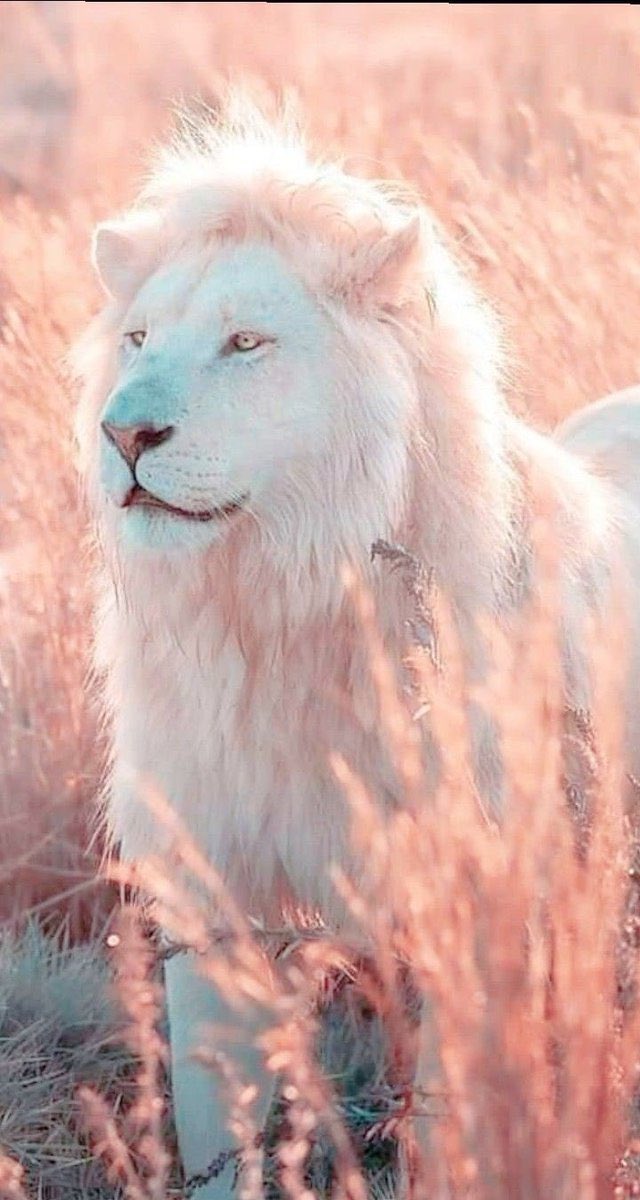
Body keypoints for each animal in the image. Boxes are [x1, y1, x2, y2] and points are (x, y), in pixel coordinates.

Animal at [75, 97, 640, 1196]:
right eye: (137, 338)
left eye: (245, 342)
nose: (124, 436)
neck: (279, 616)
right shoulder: (215, 881)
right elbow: (215, 1120)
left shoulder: (478, 902)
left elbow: (459, 1118)